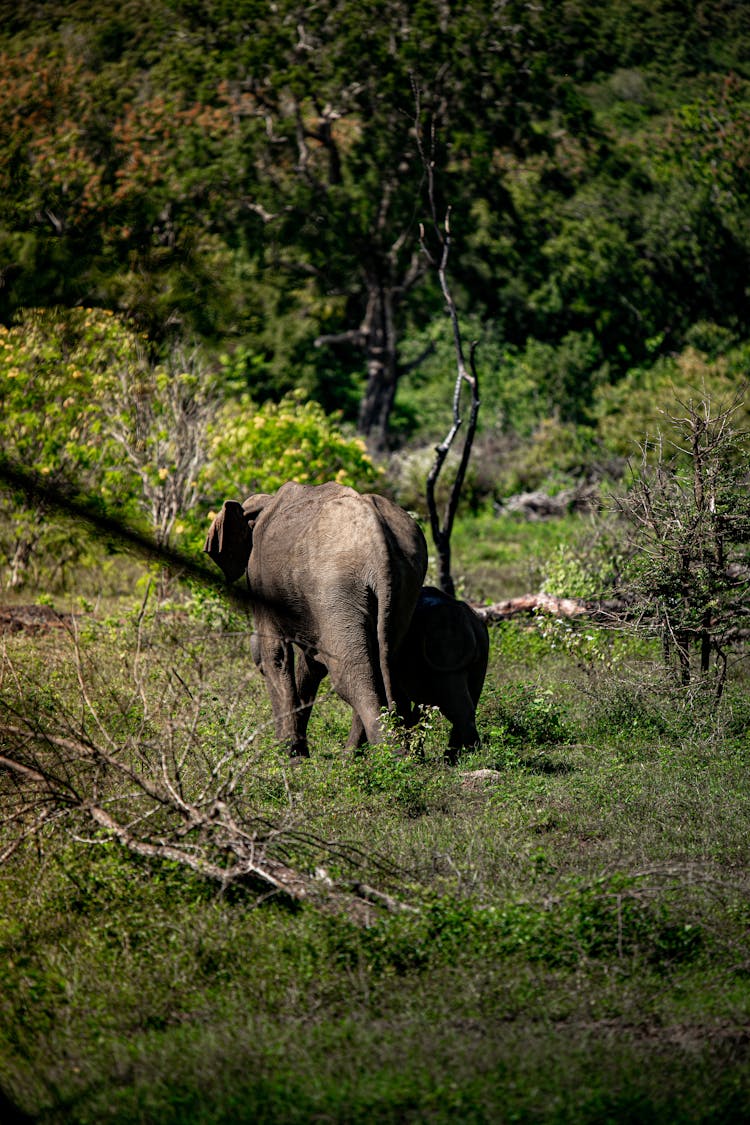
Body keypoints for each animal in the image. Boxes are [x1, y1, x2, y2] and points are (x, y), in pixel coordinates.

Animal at [205, 479, 427, 760]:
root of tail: (378, 537)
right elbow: (310, 662)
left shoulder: (260, 577)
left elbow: (274, 654)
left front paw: (289, 757)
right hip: (403, 584)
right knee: (384, 662)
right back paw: (361, 759)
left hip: (335, 585)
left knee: (352, 675)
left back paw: (388, 759)